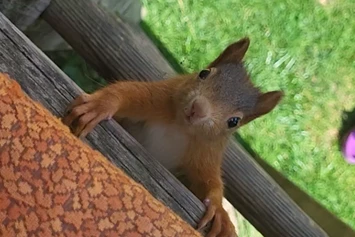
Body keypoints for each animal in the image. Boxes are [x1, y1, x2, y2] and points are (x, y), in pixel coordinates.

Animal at [63, 38, 284, 236]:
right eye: (204, 73)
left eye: (234, 121)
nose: (198, 109)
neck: (180, 128)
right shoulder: (162, 97)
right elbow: (129, 93)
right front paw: (101, 104)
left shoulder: (205, 153)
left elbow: (209, 181)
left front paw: (219, 211)